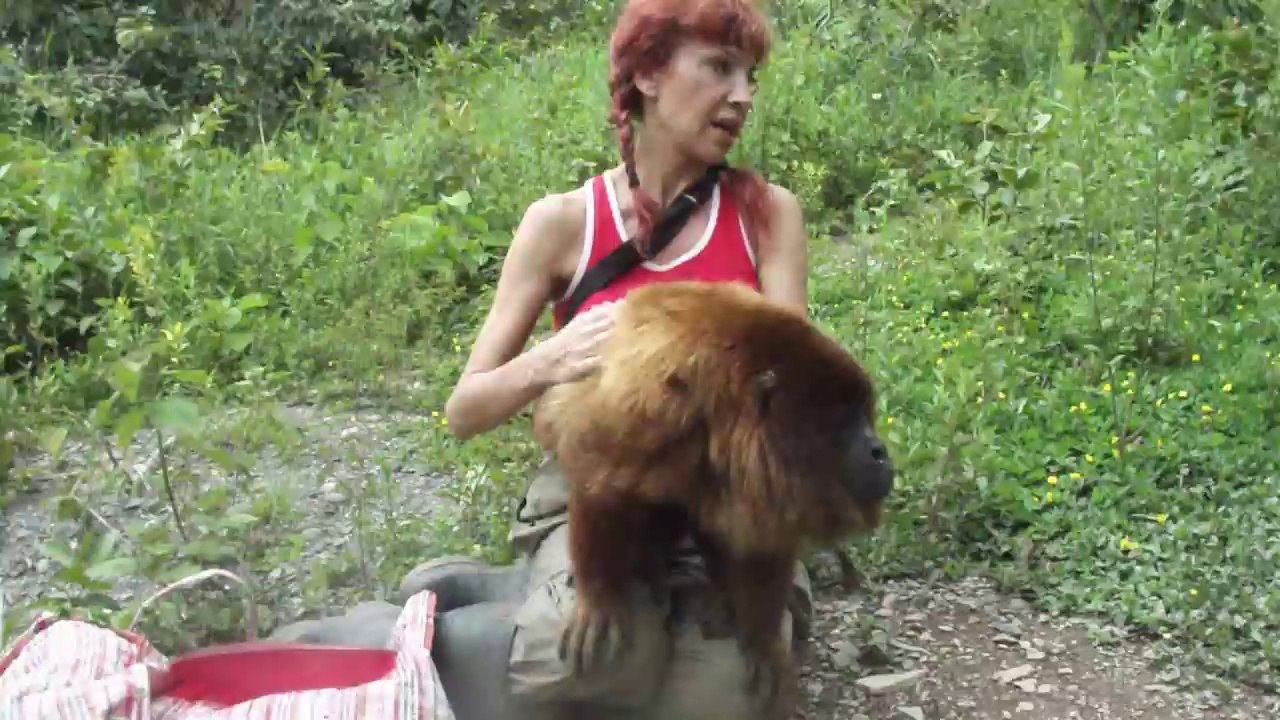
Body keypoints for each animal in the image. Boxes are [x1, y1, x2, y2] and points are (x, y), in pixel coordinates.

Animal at [531, 280, 895, 718]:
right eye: (843, 418)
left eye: (864, 412)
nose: (880, 451)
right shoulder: (645, 406)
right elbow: (598, 479)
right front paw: (601, 599)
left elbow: (760, 542)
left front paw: (761, 638)